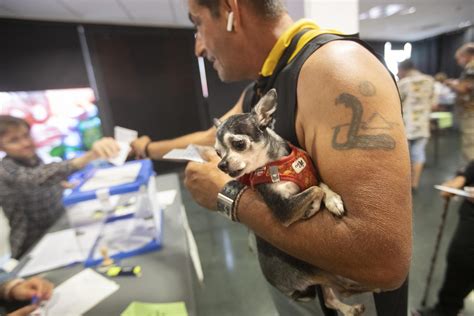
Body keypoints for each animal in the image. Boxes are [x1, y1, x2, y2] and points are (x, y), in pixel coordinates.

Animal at [214, 89, 374, 316]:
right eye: (217, 152)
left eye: (238, 144)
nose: (221, 165)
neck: (279, 163)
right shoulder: (284, 209)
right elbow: (314, 190)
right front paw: (313, 207)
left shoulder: (311, 177)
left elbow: (319, 185)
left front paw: (333, 200)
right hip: (314, 267)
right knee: (341, 287)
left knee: (330, 298)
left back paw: (349, 308)